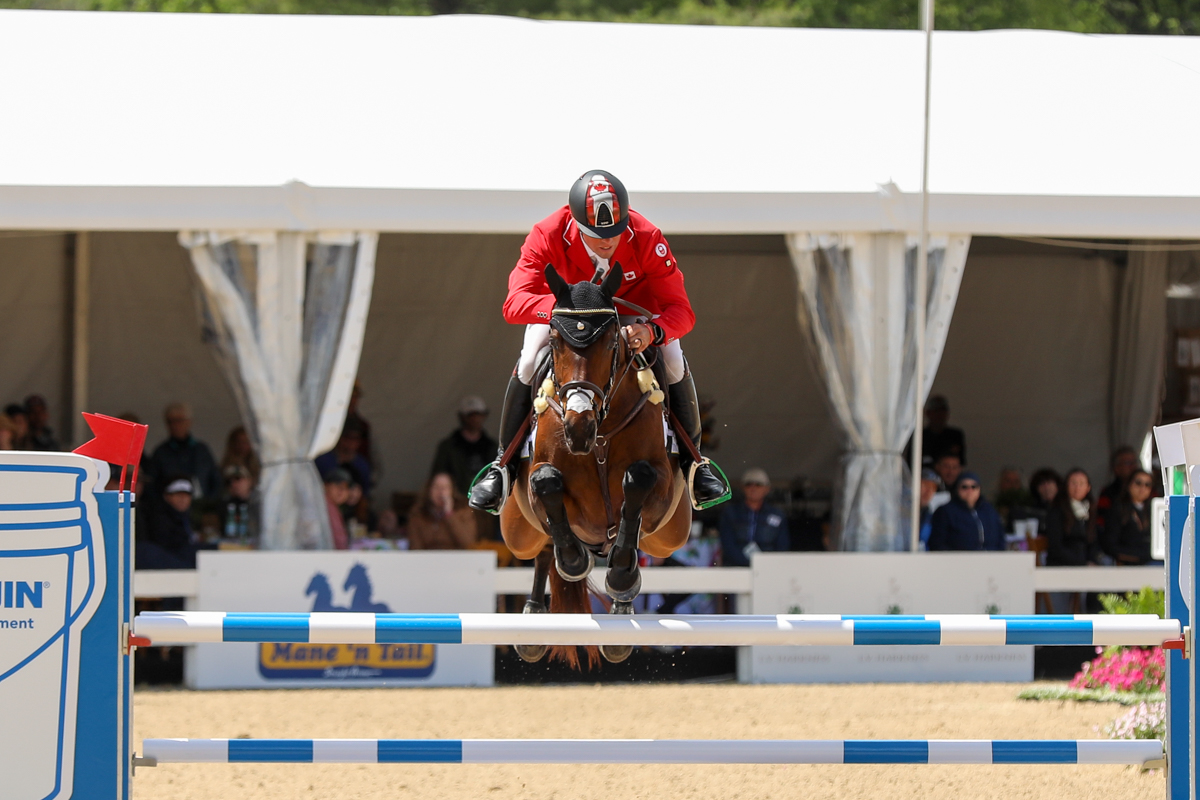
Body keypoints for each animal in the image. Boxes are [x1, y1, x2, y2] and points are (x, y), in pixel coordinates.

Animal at [500, 264, 692, 666]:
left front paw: (620, 576)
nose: (578, 428)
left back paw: (622, 606)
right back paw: (533, 621)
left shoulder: (662, 492)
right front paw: (574, 561)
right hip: (517, 532)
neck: (599, 436)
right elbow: (546, 481)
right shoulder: (539, 485)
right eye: (555, 341)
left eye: (610, 344)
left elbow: (639, 480)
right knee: (541, 549)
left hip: (671, 534)